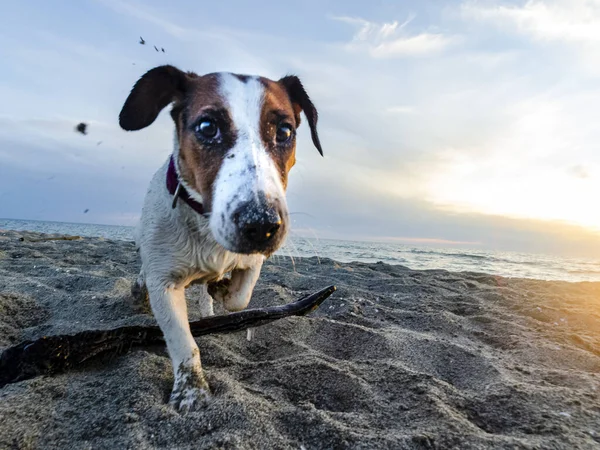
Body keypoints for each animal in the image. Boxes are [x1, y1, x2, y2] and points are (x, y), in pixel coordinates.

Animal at [118, 65, 324, 414]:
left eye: (284, 131)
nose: (261, 225)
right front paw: (192, 392)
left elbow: (240, 296)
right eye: (206, 127)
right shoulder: (164, 284)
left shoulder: (252, 261)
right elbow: (183, 342)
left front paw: (223, 288)